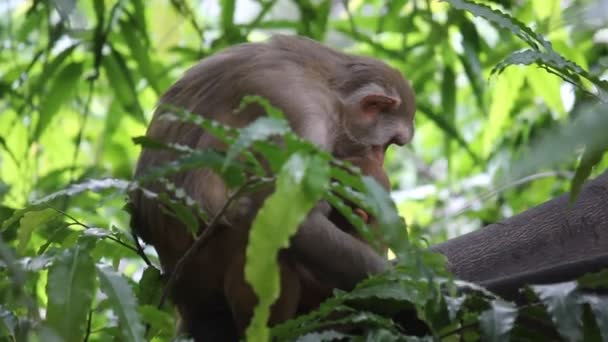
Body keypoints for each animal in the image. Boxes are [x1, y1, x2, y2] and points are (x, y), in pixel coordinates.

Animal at [130, 34, 416, 340]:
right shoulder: (297, 110)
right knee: (254, 225)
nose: (380, 160)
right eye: (384, 145)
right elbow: (297, 223)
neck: (332, 92)